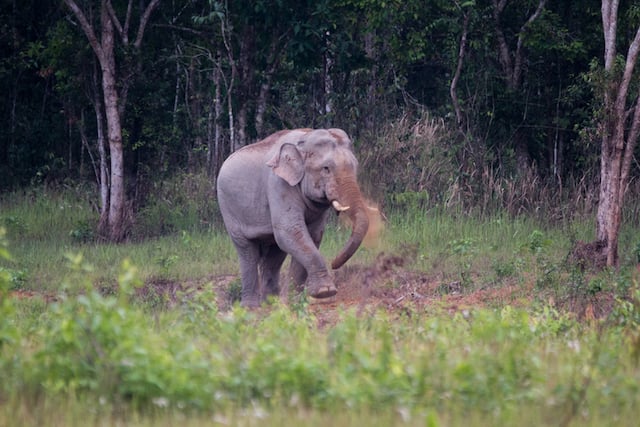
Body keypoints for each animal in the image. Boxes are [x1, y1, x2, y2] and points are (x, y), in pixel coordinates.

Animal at [216, 128, 370, 307]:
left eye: (355, 167)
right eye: (326, 168)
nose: (333, 263)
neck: (305, 138)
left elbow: (312, 235)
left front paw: (292, 301)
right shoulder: (278, 184)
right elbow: (291, 231)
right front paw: (325, 292)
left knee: (274, 253)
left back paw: (271, 302)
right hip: (228, 208)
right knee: (248, 251)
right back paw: (251, 307)